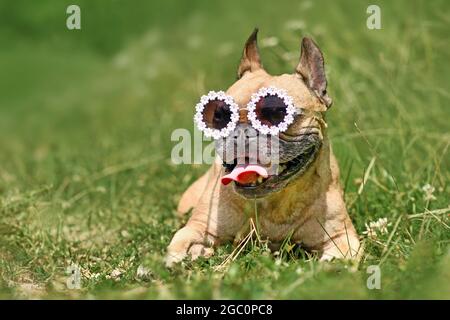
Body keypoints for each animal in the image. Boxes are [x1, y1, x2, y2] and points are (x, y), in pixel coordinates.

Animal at [165, 29, 358, 268]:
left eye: (275, 112)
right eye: (219, 115)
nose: (241, 133)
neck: (276, 200)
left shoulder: (342, 237)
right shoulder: (199, 227)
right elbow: (179, 243)